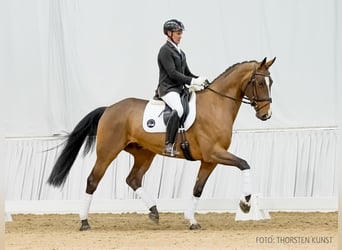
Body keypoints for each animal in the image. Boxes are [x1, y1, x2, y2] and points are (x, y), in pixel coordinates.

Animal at [47, 56, 276, 230]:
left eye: (271, 82)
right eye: (259, 83)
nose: (266, 115)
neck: (216, 105)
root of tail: (109, 108)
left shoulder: (209, 160)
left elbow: (197, 189)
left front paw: (192, 220)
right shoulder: (214, 153)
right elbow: (244, 164)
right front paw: (245, 203)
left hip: (144, 153)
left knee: (133, 179)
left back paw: (154, 212)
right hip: (108, 152)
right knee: (93, 180)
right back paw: (84, 222)